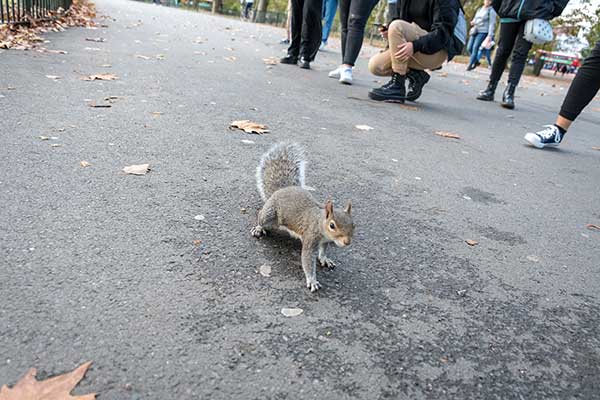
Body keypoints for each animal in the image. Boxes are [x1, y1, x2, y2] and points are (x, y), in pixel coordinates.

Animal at [251, 143, 354, 290]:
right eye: (332, 225)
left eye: (353, 225)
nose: (347, 242)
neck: (320, 222)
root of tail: (282, 189)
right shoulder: (311, 237)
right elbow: (307, 259)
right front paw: (312, 280)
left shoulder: (325, 242)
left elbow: (322, 252)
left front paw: (324, 259)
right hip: (271, 214)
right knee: (261, 216)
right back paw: (259, 228)